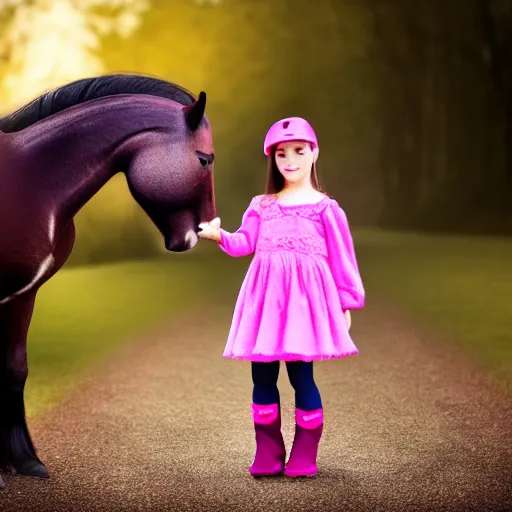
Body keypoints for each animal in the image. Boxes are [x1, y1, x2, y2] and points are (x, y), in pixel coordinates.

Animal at [0, 73, 216, 488]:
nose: (202, 233)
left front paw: (23, 461)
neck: (29, 182)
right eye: (204, 159)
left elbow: (14, 369)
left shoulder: (23, 295)